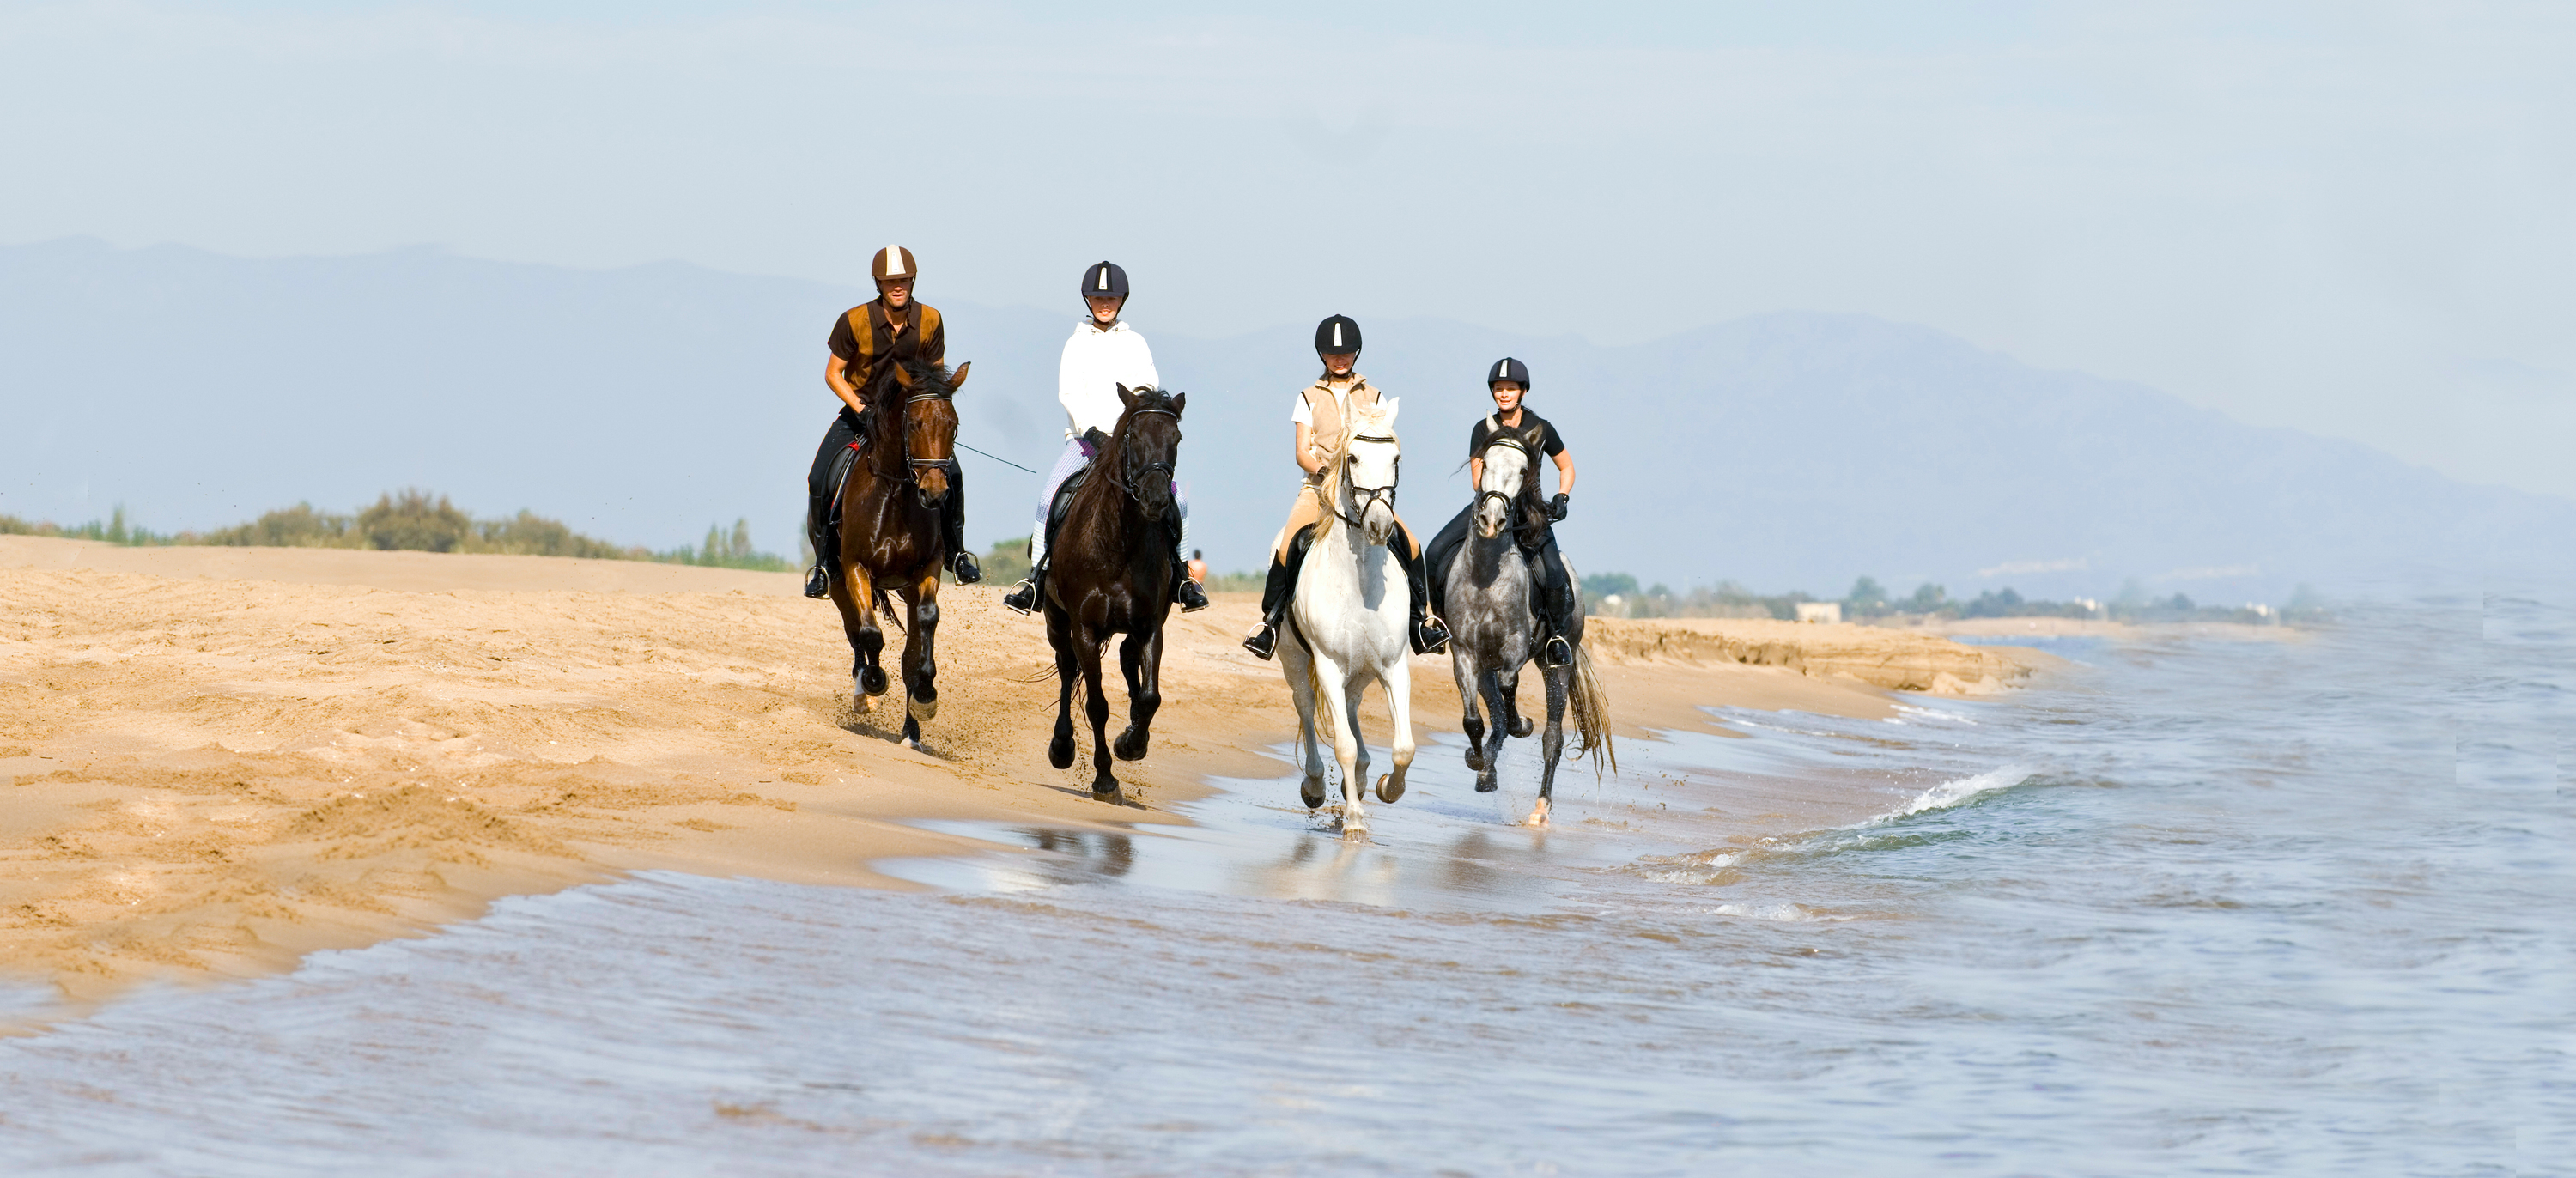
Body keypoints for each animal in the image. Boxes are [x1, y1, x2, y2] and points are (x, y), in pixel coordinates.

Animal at [840, 355, 969, 742]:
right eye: (914, 424)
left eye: (953, 426)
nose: (935, 493)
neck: (894, 496)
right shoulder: (854, 567)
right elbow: (869, 633)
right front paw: (874, 682)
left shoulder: (926, 568)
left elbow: (926, 622)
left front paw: (926, 695)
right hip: (835, 583)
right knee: (855, 634)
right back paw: (863, 692)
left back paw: (911, 732)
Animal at [1046, 386, 1185, 798]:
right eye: (1134, 437)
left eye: (1176, 439)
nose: (1156, 500)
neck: (1119, 543)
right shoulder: (1085, 630)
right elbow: (1097, 705)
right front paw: (1105, 777)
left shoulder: (1151, 625)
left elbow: (1151, 696)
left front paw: (1132, 744)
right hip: (1057, 622)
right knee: (1066, 669)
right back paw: (1062, 746)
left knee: (1127, 659)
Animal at [1278, 399, 1422, 840]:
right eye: (1353, 458)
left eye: (1396, 459)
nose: (1379, 526)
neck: (1361, 587)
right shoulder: (1326, 664)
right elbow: (1342, 744)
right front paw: (1355, 820)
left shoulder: (1394, 665)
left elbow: (1404, 747)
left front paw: (1388, 788)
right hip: (1296, 661)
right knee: (1306, 706)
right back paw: (1314, 785)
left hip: (1361, 671)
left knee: (1353, 707)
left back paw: (1359, 778)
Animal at [1443, 425, 1618, 824]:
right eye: (1485, 462)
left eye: (1524, 470)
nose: (1492, 522)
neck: (1486, 575)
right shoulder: (1464, 653)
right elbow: (1474, 721)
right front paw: (1478, 761)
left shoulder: (1516, 648)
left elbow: (1511, 693)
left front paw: (1521, 723)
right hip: (1486, 667)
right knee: (1495, 715)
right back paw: (1487, 770)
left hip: (1556, 665)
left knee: (1551, 737)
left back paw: (1540, 809)